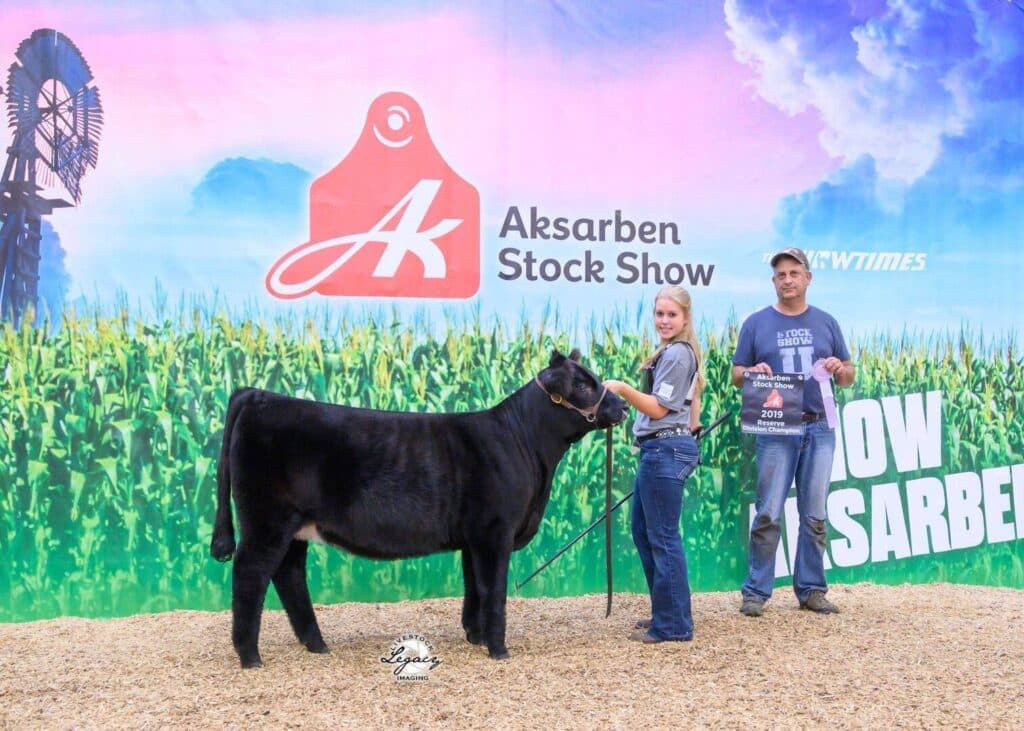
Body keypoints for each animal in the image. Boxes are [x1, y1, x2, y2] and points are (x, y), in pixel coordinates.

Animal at [210, 350, 628, 668]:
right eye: (582, 384)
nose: (623, 404)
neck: (522, 442)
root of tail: (257, 395)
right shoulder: (495, 531)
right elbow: (494, 591)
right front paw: (498, 649)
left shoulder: (474, 537)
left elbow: (474, 587)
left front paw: (475, 637)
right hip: (266, 521)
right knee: (250, 575)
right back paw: (250, 657)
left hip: (293, 526)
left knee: (289, 574)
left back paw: (316, 644)